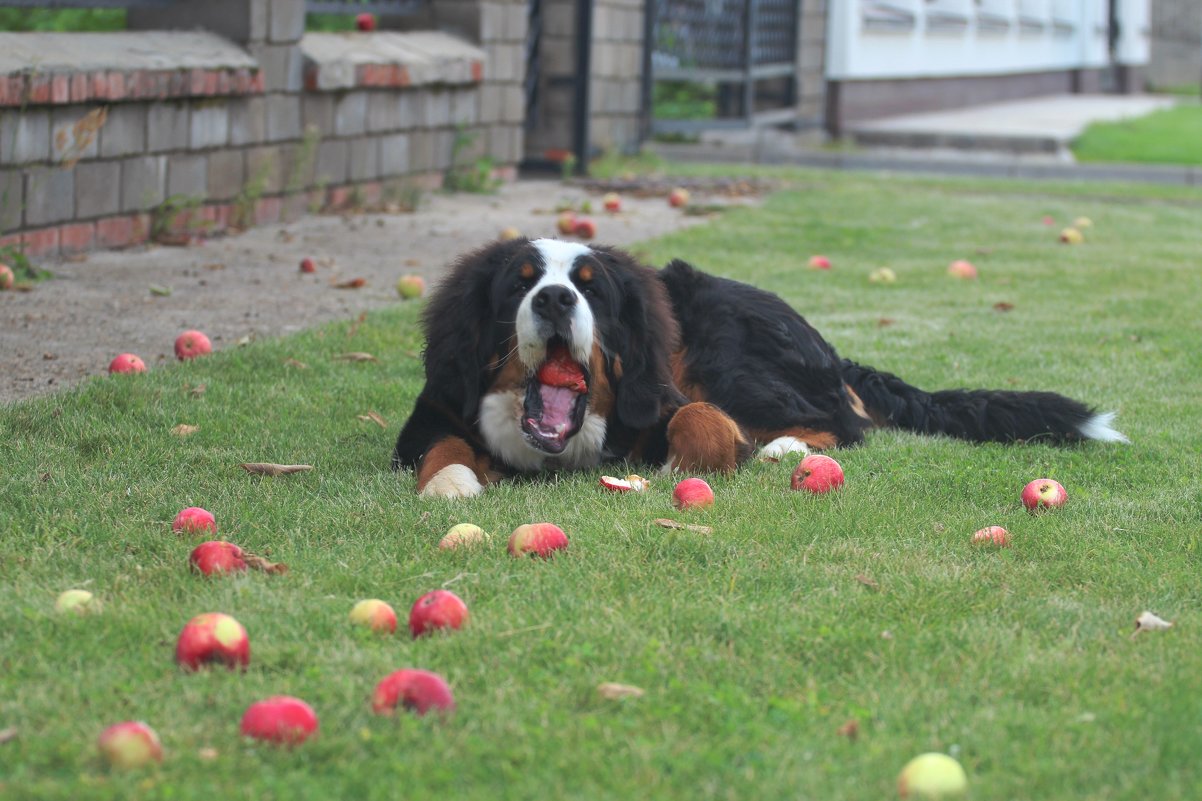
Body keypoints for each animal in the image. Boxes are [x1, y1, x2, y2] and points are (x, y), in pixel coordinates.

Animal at [387, 236, 1125, 495]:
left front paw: (716, 453)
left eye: (590, 288)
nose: (555, 298)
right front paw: (452, 481)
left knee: (837, 423)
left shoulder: (663, 398)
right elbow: (445, 444)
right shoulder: (431, 415)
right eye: (520, 282)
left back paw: (783, 446)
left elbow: (701, 421)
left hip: (727, 347)